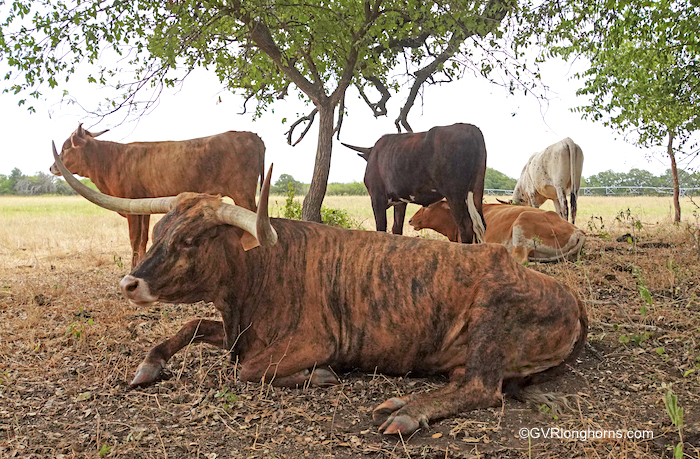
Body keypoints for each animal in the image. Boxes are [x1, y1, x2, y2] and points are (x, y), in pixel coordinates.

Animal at [50, 126, 266, 270]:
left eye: (66, 148)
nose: (52, 167)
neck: (110, 159)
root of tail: (251, 135)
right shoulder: (141, 206)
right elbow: (142, 238)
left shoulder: (131, 205)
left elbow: (134, 239)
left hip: (243, 193)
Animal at [344, 122, 486, 244]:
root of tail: (471, 128)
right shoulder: (400, 202)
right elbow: (397, 228)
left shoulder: (377, 197)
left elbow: (381, 228)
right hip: (476, 191)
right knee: (480, 226)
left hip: (454, 193)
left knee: (465, 226)